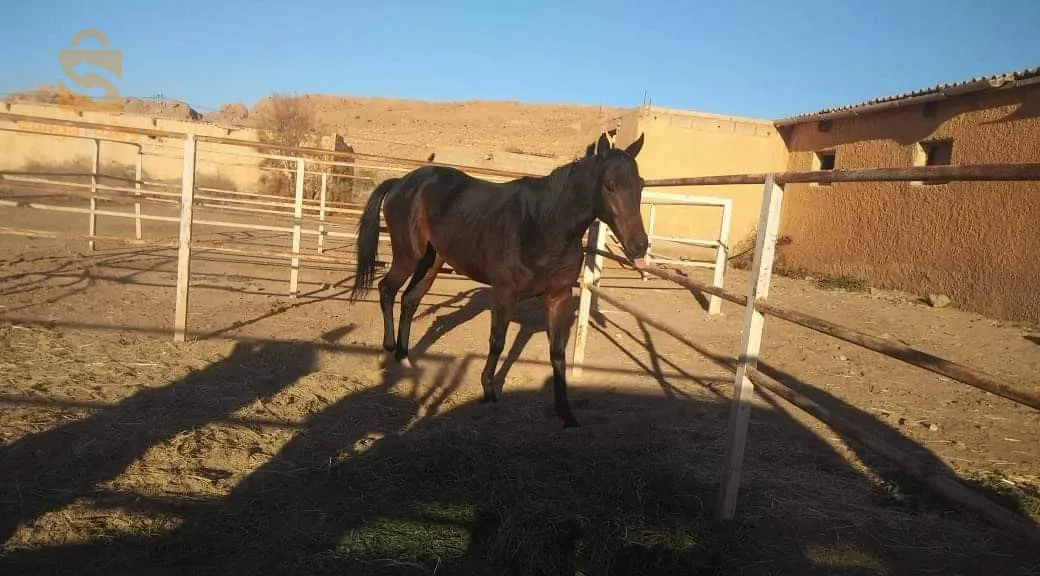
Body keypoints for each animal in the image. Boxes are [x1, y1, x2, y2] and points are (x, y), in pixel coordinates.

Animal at [348, 132, 648, 428]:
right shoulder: (505, 294)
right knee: (386, 289)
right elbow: (497, 342)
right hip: (408, 256)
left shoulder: (557, 297)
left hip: (432, 261)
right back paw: (387, 353)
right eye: (610, 185)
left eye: (641, 185)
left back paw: (404, 357)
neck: (543, 224)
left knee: (410, 300)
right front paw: (489, 391)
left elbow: (557, 352)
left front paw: (565, 412)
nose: (639, 246)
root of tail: (401, 183)